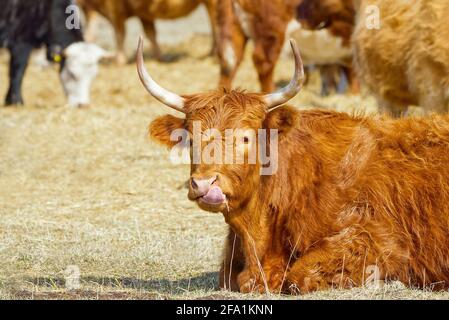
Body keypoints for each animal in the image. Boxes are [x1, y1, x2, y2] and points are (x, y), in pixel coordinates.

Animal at [77, 0, 217, 63]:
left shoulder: (114, 9)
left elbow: (119, 35)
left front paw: (119, 61)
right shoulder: (144, 15)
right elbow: (151, 34)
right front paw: (159, 58)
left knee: (215, 25)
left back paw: (211, 55)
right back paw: (209, 54)